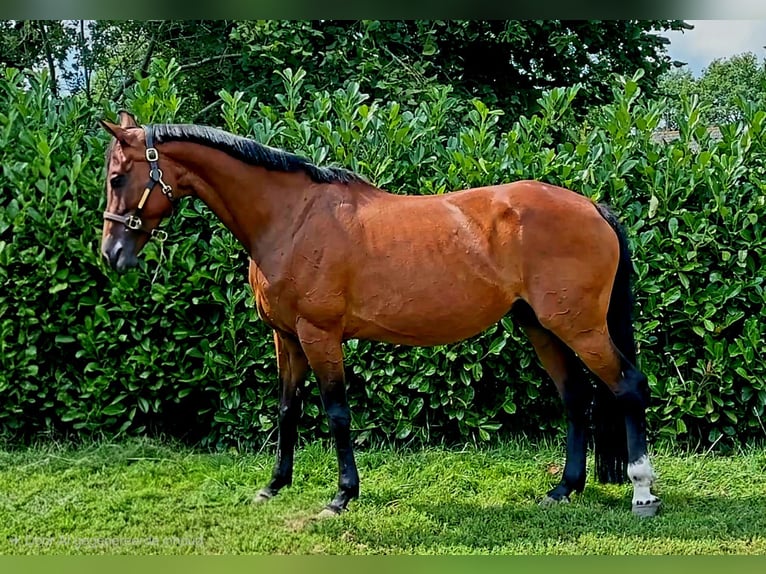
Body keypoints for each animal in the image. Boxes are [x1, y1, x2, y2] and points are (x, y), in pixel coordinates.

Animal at [99, 110, 660, 518]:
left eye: (118, 177)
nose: (111, 254)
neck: (293, 218)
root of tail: (592, 207)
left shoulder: (320, 335)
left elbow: (337, 413)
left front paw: (342, 496)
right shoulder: (286, 337)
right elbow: (287, 409)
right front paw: (274, 486)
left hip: (579, 327)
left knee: (628, 386)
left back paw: (642, 493)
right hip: (542, 327)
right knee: (577, 399)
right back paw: (564, 489)